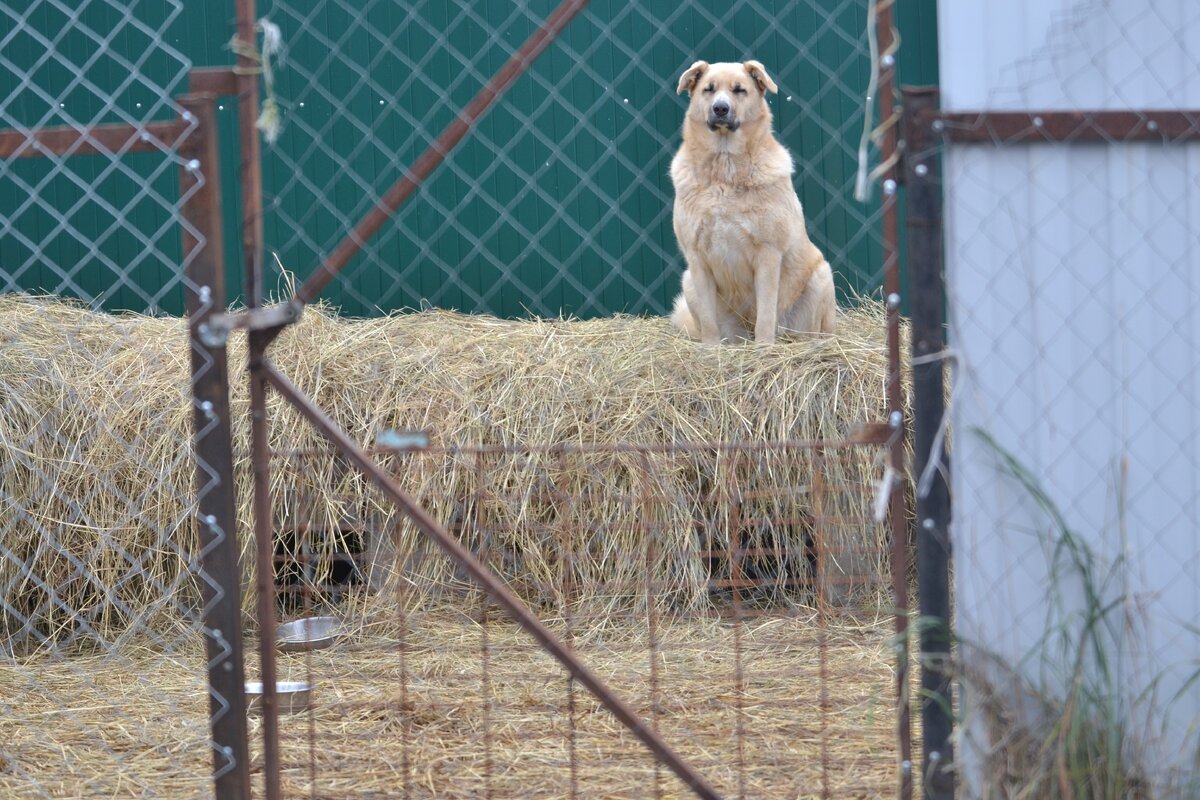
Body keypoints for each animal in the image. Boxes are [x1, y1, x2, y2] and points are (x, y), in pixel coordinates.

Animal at [672, 58, 840, 340]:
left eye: (740, 90)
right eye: (709, 89)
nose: (720, 108)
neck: (725, 169)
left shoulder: (768, 255)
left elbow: (765, 316)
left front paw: (763, 347)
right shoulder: (696, 257)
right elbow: (708, 322)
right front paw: (710, 349)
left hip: (821, 276)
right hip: (688, 283)